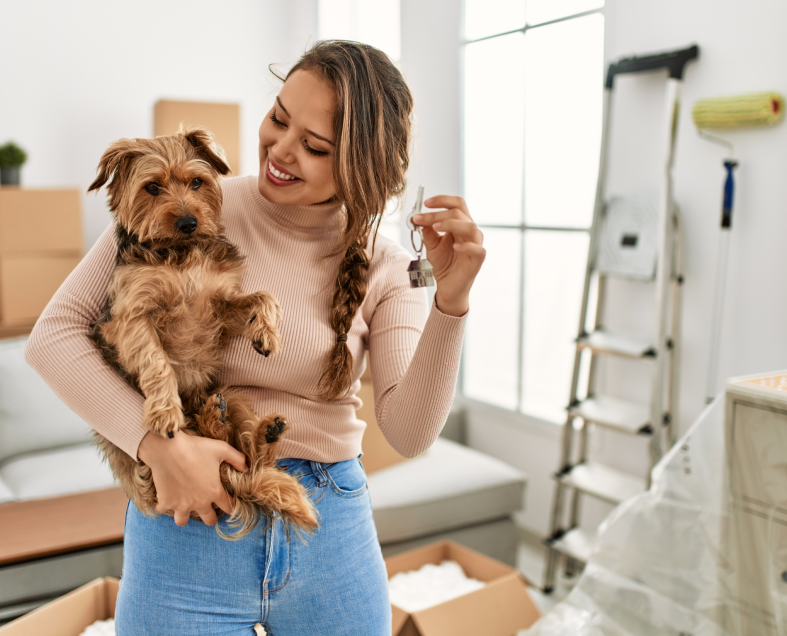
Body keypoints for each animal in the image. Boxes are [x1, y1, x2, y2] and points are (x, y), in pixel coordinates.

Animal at [85, 125, 318, 540]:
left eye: (197, 182)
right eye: (152, 187)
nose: (188, 222)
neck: (180, 253)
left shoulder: (221, 307)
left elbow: (264, 296)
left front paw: (267, 333)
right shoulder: (130, 317)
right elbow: (156, 360)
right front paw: (165, 411)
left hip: (233, 394)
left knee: (244, 454)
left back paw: (258, 429)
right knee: (227, 460)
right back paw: (210, 420)